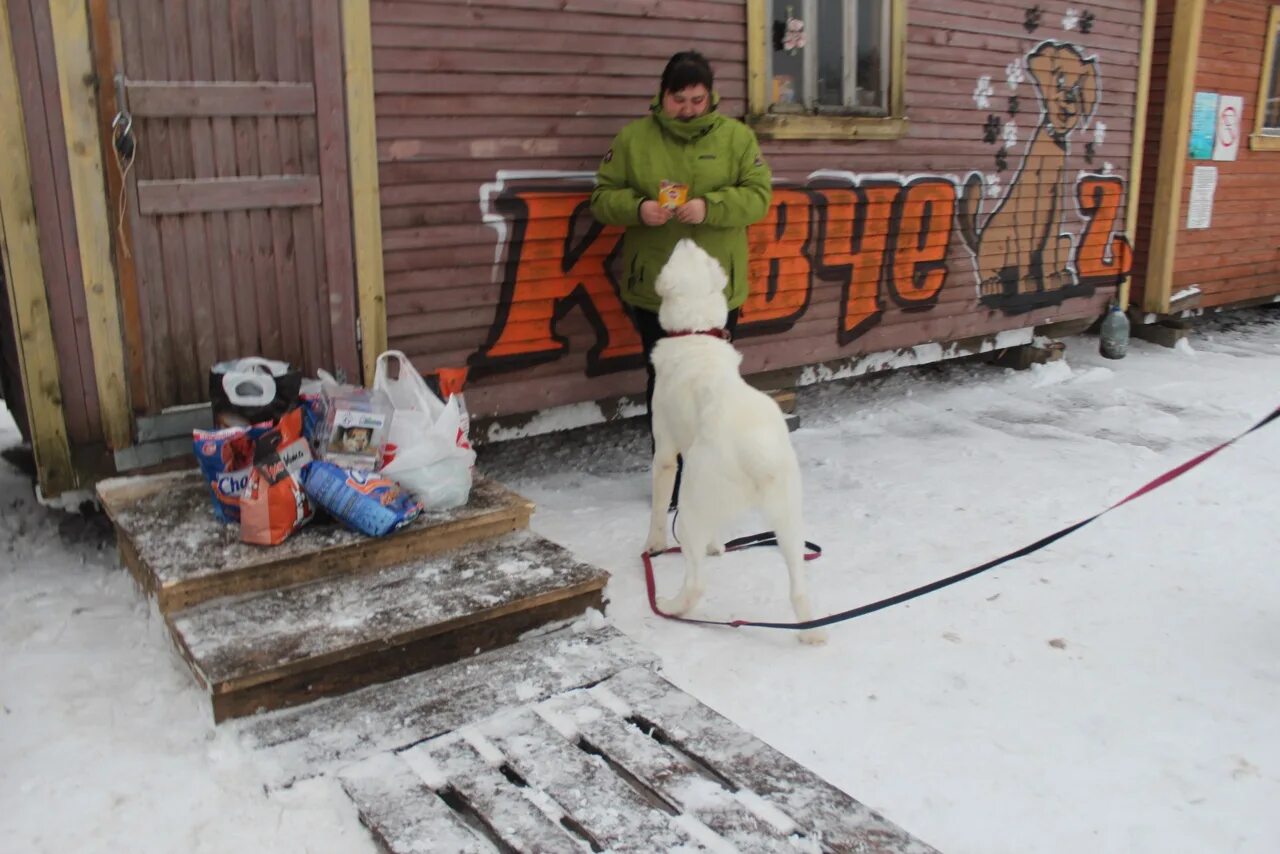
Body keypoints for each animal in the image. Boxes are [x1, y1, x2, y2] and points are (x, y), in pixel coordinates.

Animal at [645, 239, 824, 640]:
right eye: (702, 256)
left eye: (675, 258)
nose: (685, 238)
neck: (695, 334)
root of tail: (757, 449)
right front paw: (717, 547)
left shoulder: (665, 453)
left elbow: (658, 511)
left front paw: (654, 546)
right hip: (789, 520)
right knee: (799, 587)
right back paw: (810, 631)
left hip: (691, 505)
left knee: (696, 584)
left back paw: (670, 607)